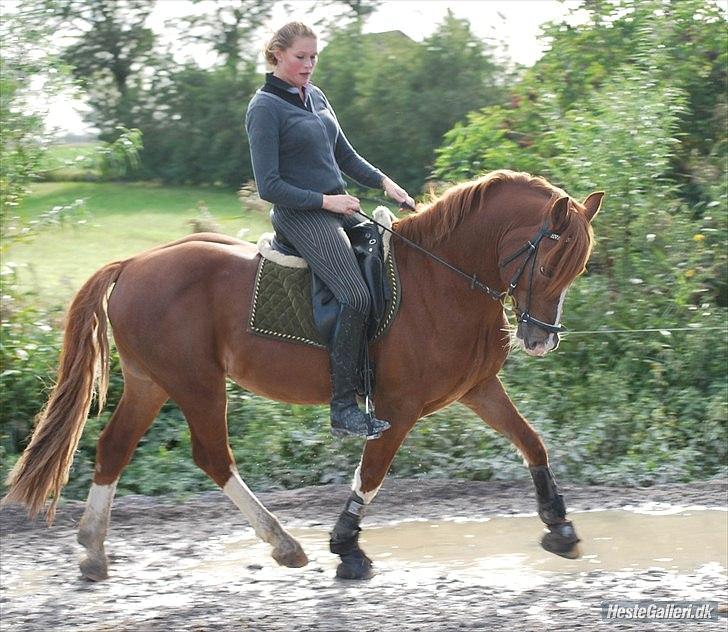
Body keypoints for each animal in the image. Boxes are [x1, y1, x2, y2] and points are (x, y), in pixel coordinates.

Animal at [2, 170, 604, 580]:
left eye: (577, 268)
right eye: (551, 264)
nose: (540, 340)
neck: (442, 280)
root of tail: (132, 263)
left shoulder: (476, 389)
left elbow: (532, 441)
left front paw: (560, 526)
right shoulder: (397, 408)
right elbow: (371, 475)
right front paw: (347, 547)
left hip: (153, 383)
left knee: (114, 449)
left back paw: (93, 550)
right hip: (196, 383)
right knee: (212, 456)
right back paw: (284, 543)